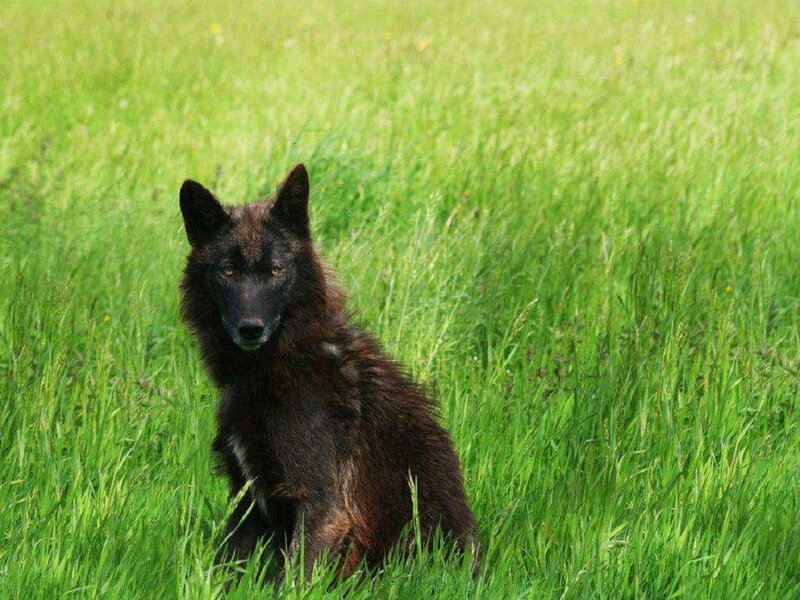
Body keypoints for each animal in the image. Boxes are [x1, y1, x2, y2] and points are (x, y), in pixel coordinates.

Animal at [179, 163, 477, 581]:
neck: (280, 367)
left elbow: (292, 580)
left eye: (274, 271)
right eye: (228, 271)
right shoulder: (247, 502)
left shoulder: (324, 506)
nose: (250, 329)